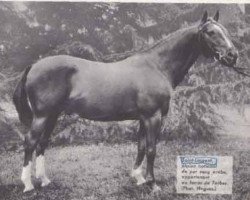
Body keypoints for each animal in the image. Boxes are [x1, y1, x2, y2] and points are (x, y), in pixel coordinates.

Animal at [12, 10, 238, 192]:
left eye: (225, 30)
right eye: (211, 32)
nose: (233, 55)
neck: (157, 66)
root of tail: (33, 66)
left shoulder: (143, 118)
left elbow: (140, 146)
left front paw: (138, 178)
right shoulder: (153, 117)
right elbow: (151, 149)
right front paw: (152, 184)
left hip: (52, 116)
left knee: (42, 144)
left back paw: (44, 180)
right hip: (42, 116)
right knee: (30, 142)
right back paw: (28, 184)